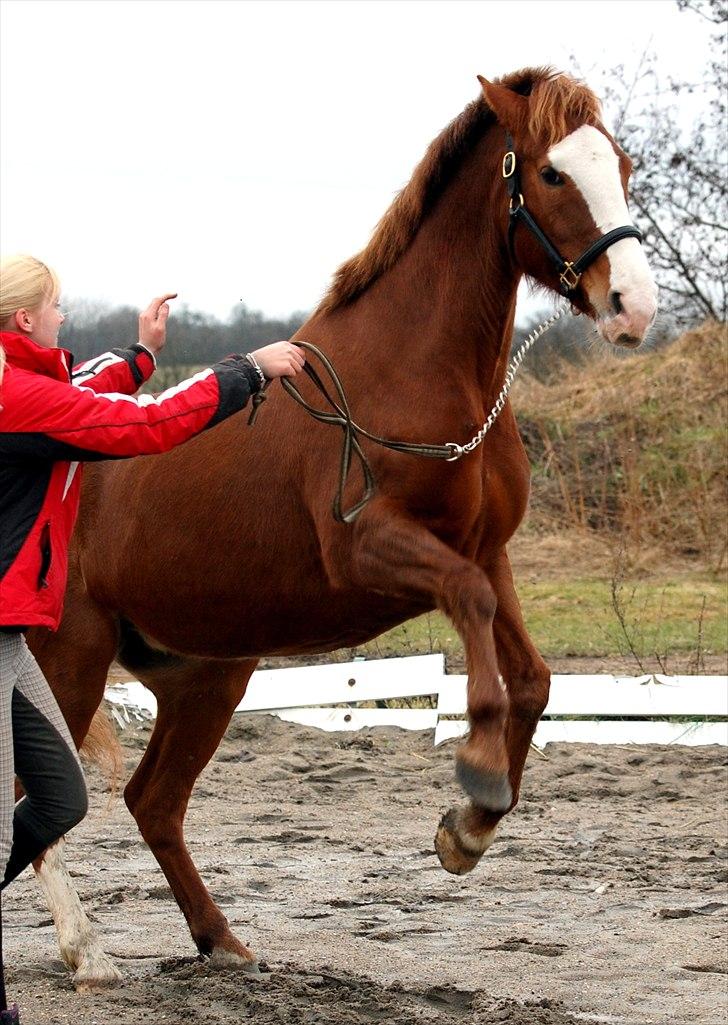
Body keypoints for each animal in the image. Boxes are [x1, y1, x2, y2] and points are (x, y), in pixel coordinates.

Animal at [28, 66, 660, 984]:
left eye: (623, 165)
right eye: (550, 173)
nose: (633, 305)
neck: (416, 370)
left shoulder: (487, 552)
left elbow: (534, 679)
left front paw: (465, 834)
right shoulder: (372, 549)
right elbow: (473, 618)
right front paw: (475, 782)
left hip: (208, 672)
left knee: (154, 800)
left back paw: (222, 941)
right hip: (71, 654)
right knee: (39, 795)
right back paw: (87, 952)